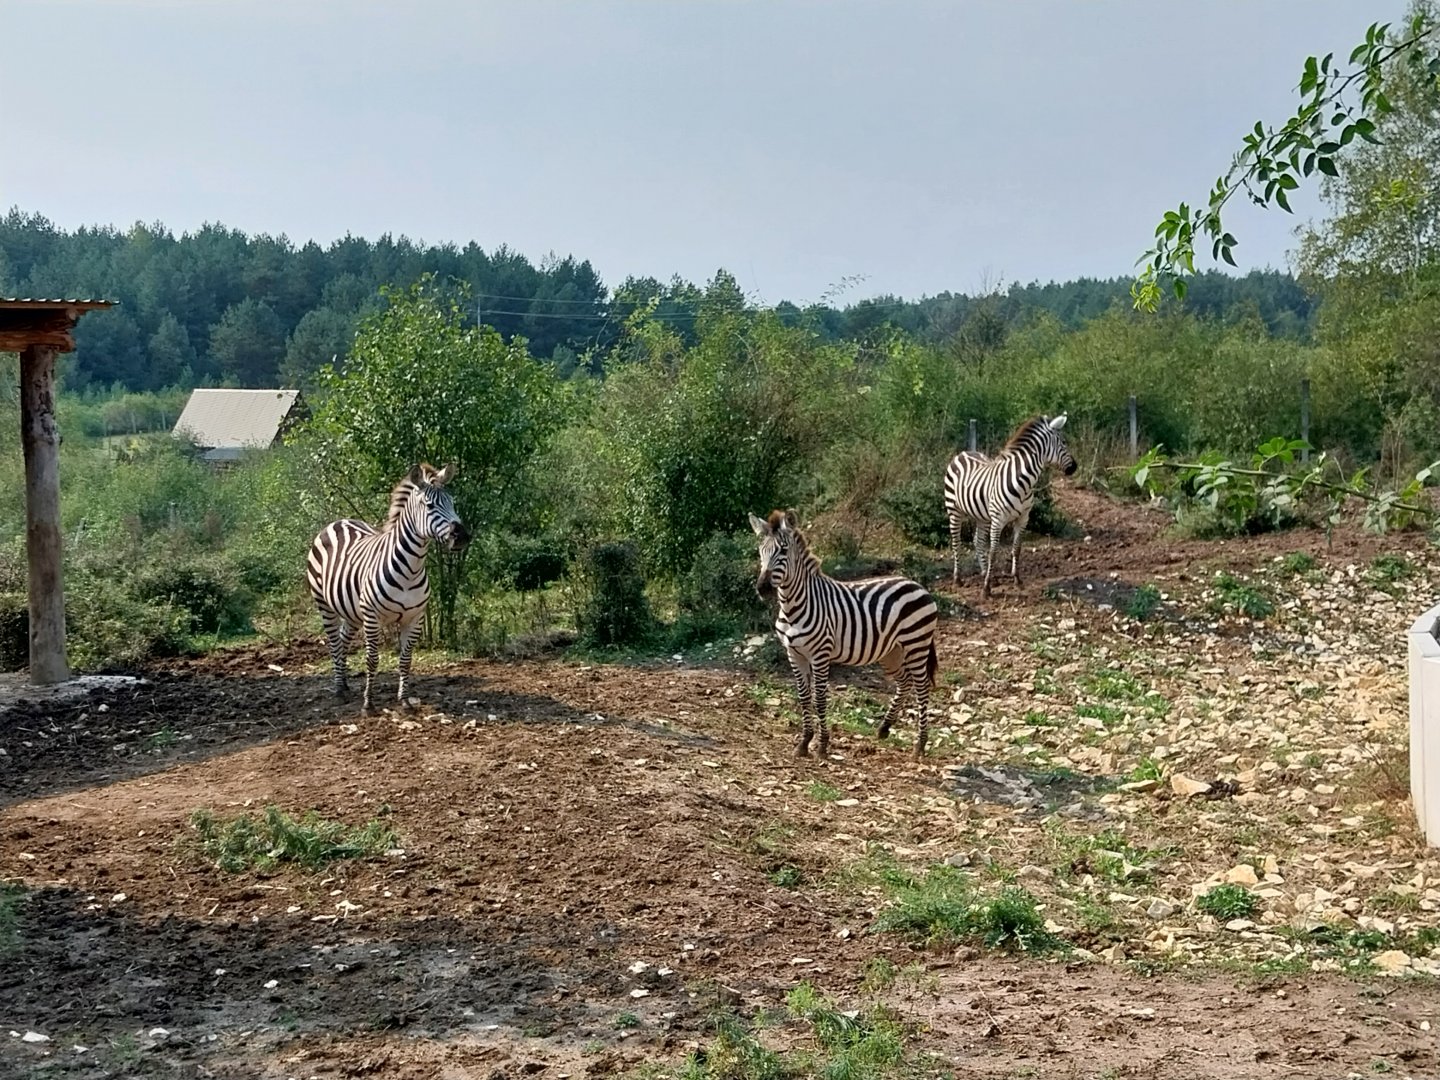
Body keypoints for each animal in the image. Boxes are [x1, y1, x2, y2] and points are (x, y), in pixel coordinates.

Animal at [306, 463, 470, 714]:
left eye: (452, 502)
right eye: (430, 505)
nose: (462, 536)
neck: (412, 568)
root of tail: (338, 522)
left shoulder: (414, 617)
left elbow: (406, 660)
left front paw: (404, 699)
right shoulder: (372, 616)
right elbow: (372, 659)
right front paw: (368, 703)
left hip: (352, 611)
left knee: (343, 640)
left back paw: (344, 683)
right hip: (325, 605)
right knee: (334, 643)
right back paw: (339, 690)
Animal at [749, 509, 939, 760]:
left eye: (783, 550)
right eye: (761, 551)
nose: (762, 589)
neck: (793, 607)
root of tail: (916, 584)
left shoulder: (820, 654)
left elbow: (819, 699)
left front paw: (822, 745)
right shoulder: (794, 653)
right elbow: (803, 697)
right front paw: (804, 742)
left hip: (917, 644)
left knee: (922, 687)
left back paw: (920, 745)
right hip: (891, 651)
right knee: (905, 682)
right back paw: (884, 728)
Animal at [944, 414, 1076, 598]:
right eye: (1063, 442)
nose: (1075, 467)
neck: (1024, 483)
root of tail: (964, 452)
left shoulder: (1023, 518)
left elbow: (1017, 548)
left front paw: (1017, 580)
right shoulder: (998, 520)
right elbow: (993, 552)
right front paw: (986, 588)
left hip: (982, 516)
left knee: (978, 541)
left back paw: (984, 573)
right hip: (954, 510)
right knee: (956, 542)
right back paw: (958, 579)